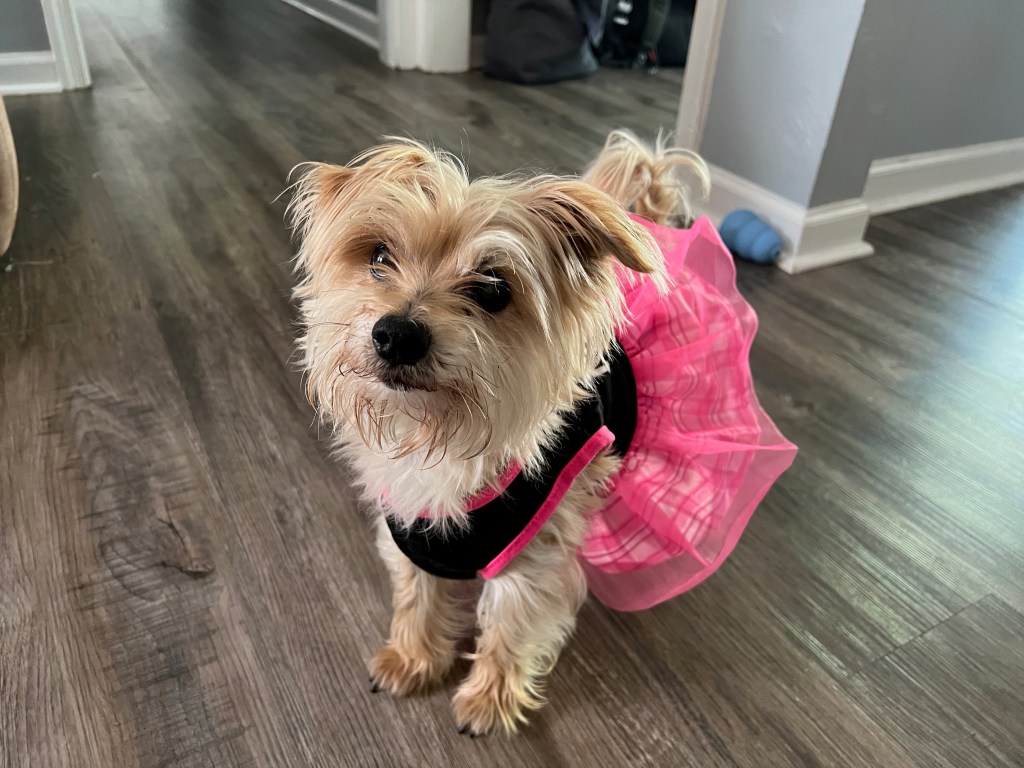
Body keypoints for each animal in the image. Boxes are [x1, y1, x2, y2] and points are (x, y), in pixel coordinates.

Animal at [287, 131, 717, 735]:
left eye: (492, 290)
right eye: (379, 257)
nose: (397, 334)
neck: (439, 433)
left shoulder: (532, 554)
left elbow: (511, 627)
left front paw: (490, 698)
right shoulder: (410, 527)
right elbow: (415, 595)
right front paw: (413, 657)